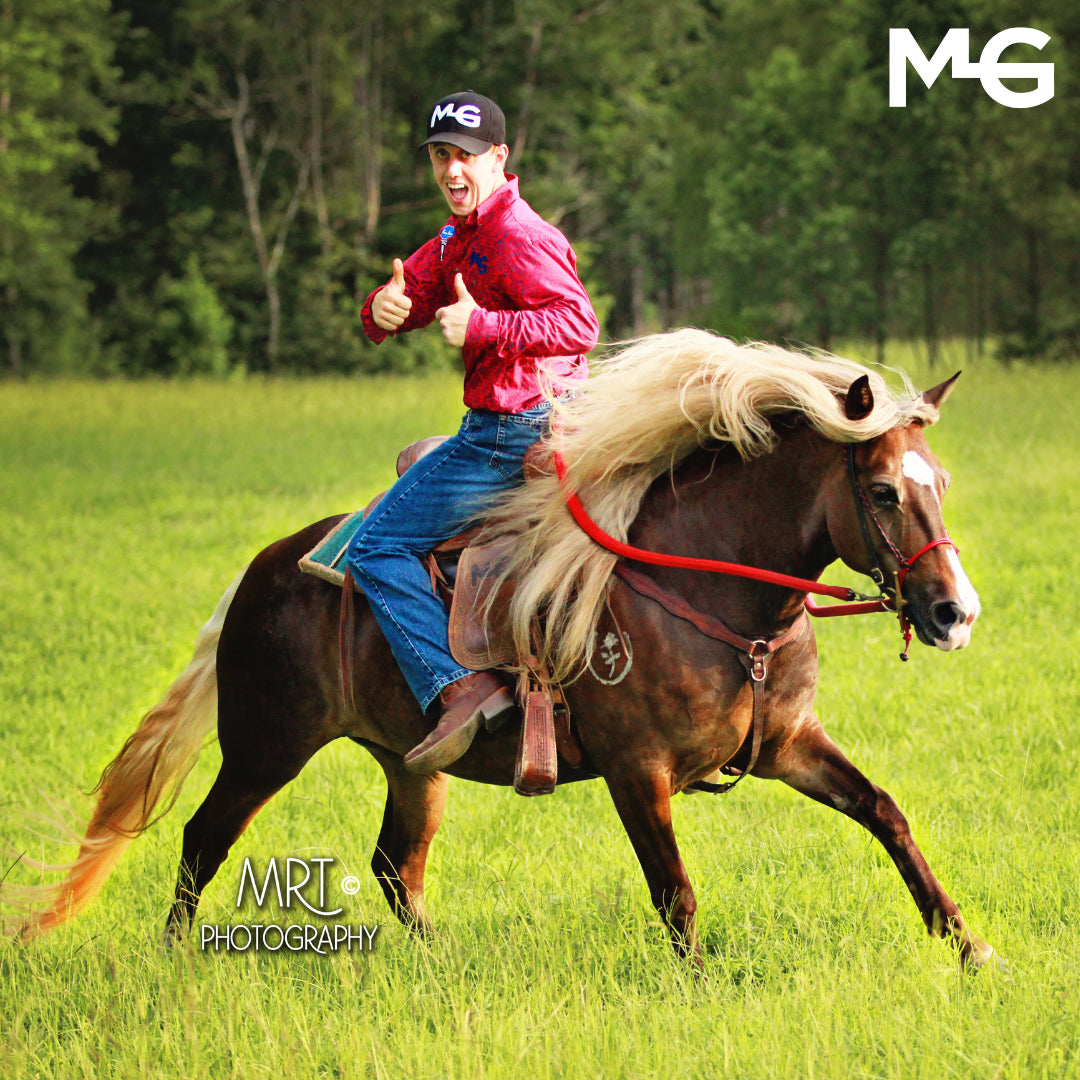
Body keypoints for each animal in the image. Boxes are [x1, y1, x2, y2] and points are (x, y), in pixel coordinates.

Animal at [10, 330, 998, 971]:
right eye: (882, 491)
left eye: (941, 483)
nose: (956, 612)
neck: (710, 589)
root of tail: (265, 568)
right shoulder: (637, 769)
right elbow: (673, 889)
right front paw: (702, 983)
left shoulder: (790, 744)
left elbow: (885, 813)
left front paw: (967, 944)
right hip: (265, 746)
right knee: (205, 837)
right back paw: (176, 957)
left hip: (409, 764)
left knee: (393, 864)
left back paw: (437, 961)